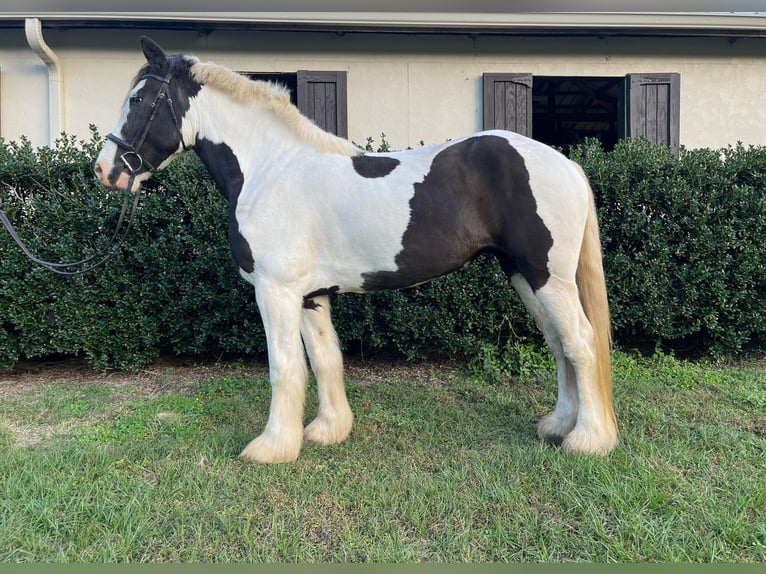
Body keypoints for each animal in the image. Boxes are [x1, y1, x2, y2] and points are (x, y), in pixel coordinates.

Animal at [96, 37, 620, 464]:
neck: (271, 170)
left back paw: (587, 441)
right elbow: (325, 360)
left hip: (546, 276)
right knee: (559, 343)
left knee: (580, 342)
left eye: (138, 99)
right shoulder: (310, 295)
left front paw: (271, 447)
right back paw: (558, 427)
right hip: (525, 274)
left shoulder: (275, 291)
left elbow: (284, 366)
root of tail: (566, 164)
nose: (105, 170)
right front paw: (327, 431)